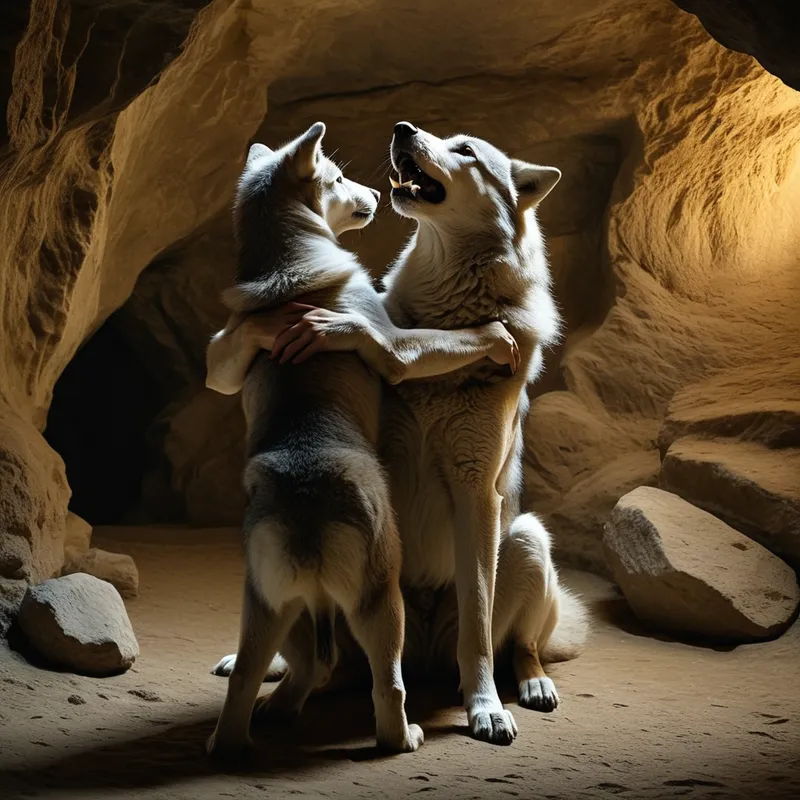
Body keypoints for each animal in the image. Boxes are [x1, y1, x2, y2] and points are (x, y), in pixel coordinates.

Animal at [208, 122, 588, 747]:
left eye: (466, 150)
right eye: (446, 137)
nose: (403, 129)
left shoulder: (476, 492)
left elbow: (479, 630)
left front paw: (485, 707)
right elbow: (404, 344)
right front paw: (489, 337)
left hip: (525, 540)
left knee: (517, 646)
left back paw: (529, 685)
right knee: (324, 665)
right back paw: (271, 688)